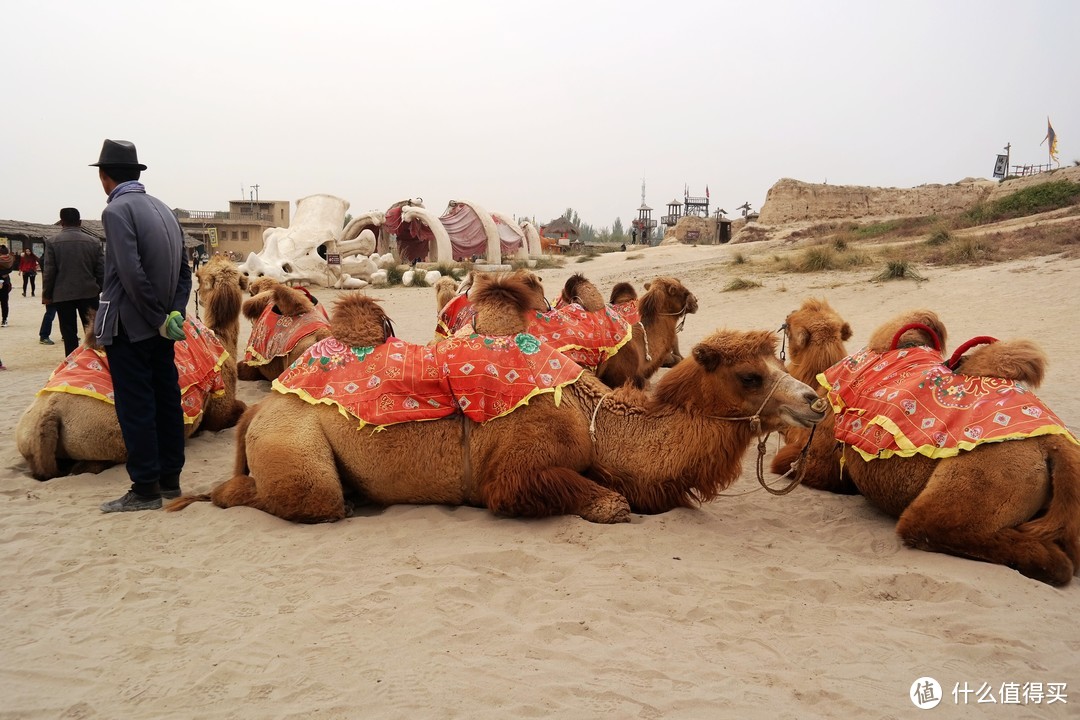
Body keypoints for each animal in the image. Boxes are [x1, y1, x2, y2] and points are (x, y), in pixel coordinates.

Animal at [170, 269, 825, 524]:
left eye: (780, 359)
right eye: (751, 376)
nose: (814, 401)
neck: (592, 418)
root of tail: (264, 406)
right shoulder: (515, 468)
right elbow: (609, 502)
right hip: (295, 444)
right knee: (299, 496)